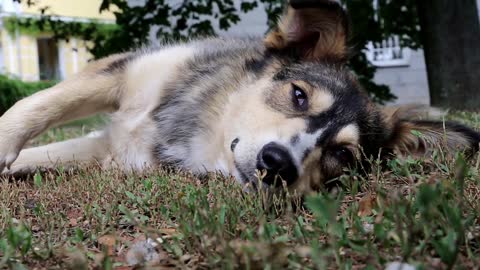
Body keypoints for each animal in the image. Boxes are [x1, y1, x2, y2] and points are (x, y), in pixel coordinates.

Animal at [0, 0, 480, 194]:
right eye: (299, 96)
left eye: (343, 156)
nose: (278, 164)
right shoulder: (123, 72)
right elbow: (34, 106)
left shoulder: (112, 154)